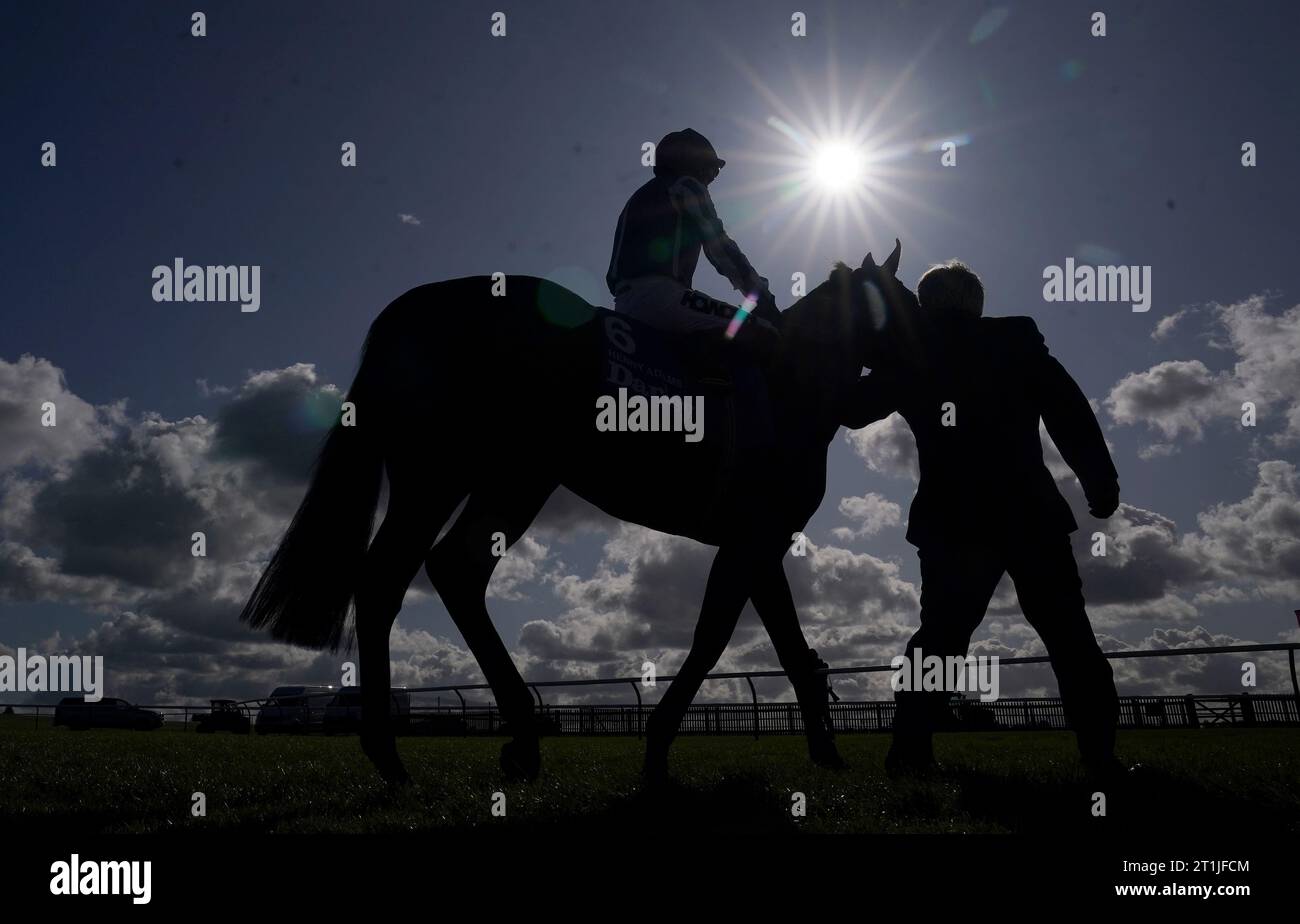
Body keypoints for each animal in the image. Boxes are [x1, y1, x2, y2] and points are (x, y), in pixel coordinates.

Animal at [239, 240, 920, 790]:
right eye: (908, 301)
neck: (791, 384)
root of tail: (414, 306)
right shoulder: (753, 538)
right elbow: (712, 637)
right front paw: (657, 753)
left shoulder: (762, 540)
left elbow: (791, 645)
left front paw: (828, 753)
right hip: (490, 476)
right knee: (429, 572)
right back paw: (460, 747)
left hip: (469, 479)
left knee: (418, 575)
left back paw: (438, 751)